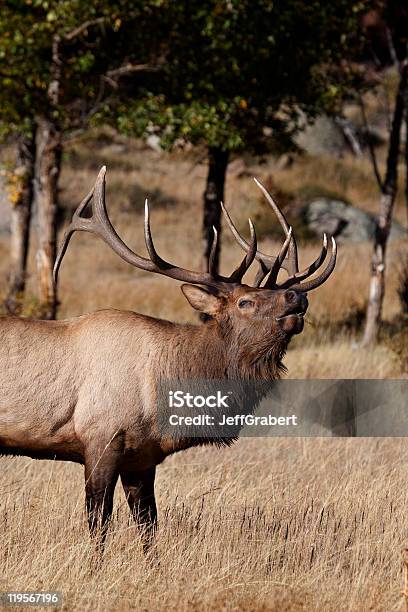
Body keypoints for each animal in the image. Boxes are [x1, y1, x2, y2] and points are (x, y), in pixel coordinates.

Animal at [0, 167, 334, 548]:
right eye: (245, 301)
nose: (297, 297)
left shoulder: (142, 458)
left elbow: (149, 527)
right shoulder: (100, 438)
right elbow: (99, 523)